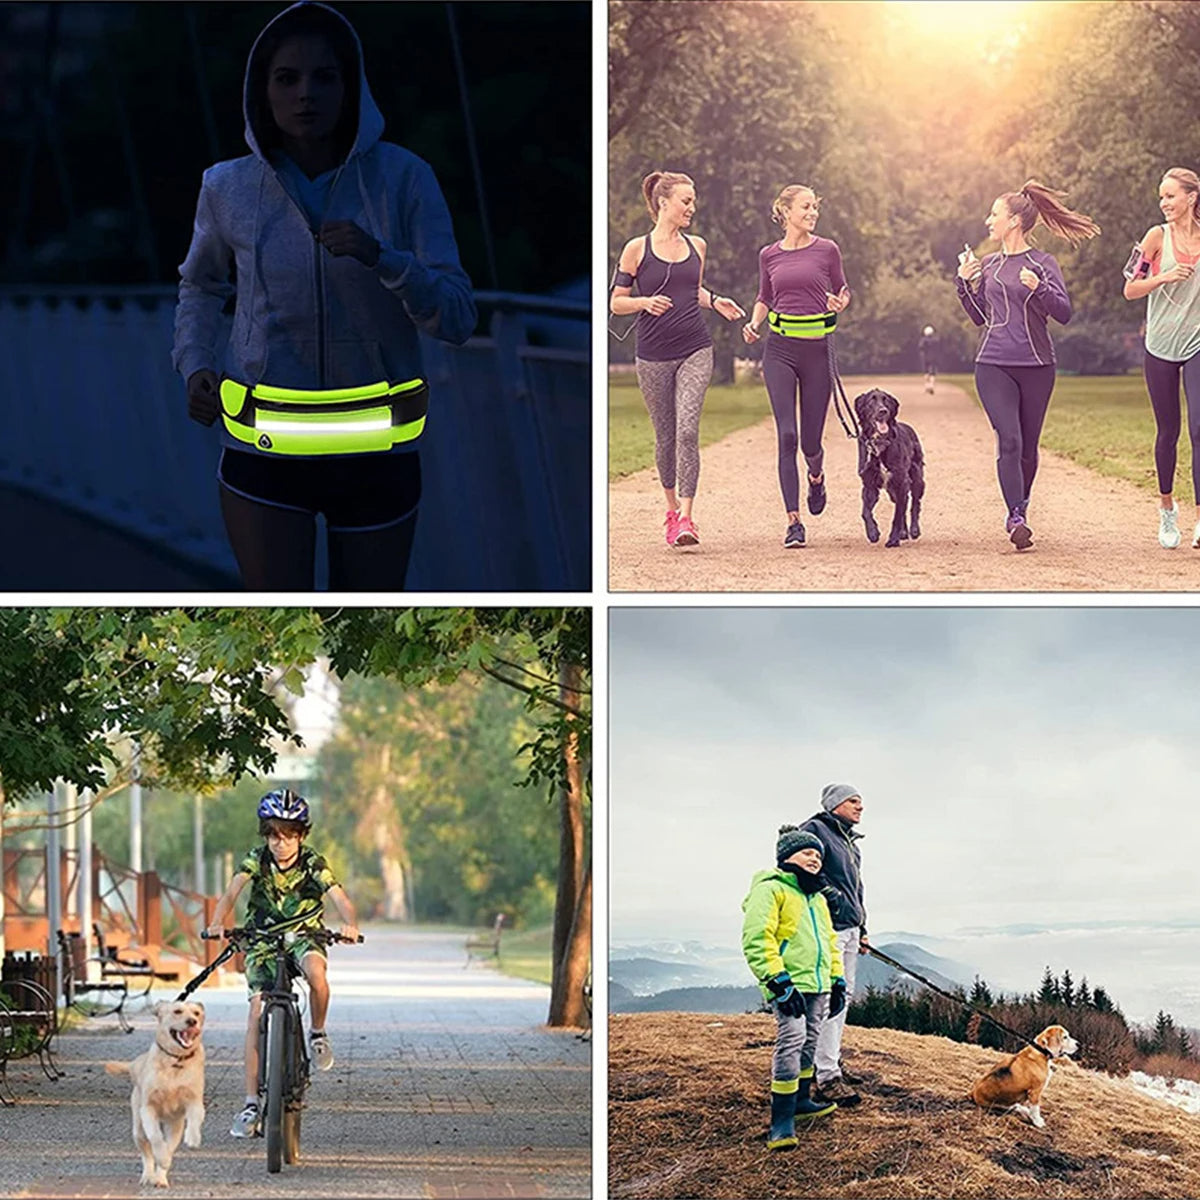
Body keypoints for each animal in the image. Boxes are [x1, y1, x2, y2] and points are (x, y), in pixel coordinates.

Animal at [849, 388, 921, 549]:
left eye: (886, 400)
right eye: (871, 400)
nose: (883, 411)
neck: (880, 443)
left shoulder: (901, 481)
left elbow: (897, 515)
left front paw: (893, 539)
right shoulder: (869, 484)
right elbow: (865, 512)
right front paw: (873, 533)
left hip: (916, 477)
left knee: (914, 503)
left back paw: (914, 530)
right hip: (892, 490)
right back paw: (903, 532)